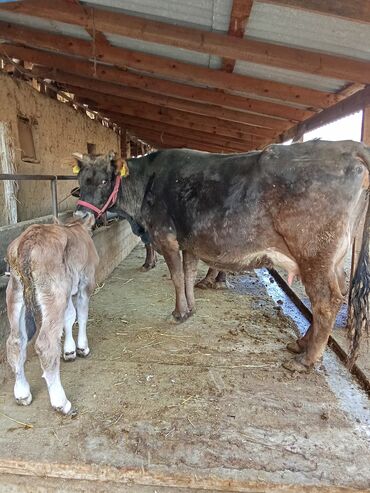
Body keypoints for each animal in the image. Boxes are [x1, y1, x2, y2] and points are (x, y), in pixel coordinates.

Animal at [6, 217, 98, 414]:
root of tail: (28, 241)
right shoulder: (86, 282)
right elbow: (82, 314)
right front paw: (82, 348)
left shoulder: (70, 288)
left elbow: (69, 316)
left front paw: (69, 350)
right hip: (54, 292)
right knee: (45, 344)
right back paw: (61, 402)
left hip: (15, 290)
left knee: (15, 341)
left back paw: (22, 393)